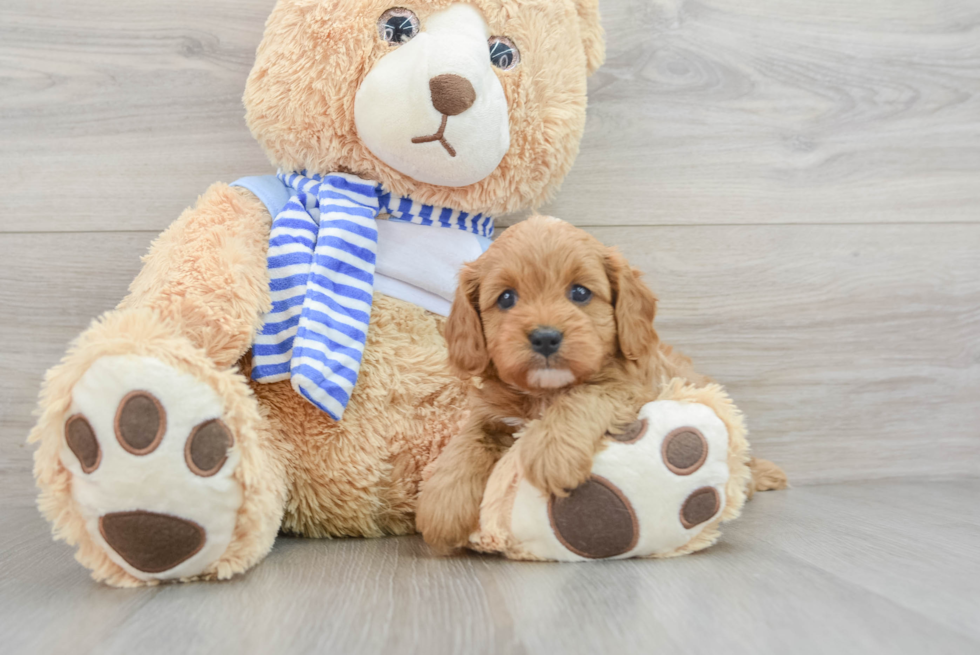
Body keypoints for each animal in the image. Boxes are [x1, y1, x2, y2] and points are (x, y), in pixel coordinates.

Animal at [418, 215, 708, 548]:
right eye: (506, 298)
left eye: (580, 293)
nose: (545, 338)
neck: (544, 392)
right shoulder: (490, 412)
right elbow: (467, 441)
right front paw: (442, 503)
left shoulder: (629, 389)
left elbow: (583, 397)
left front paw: (551, 453)